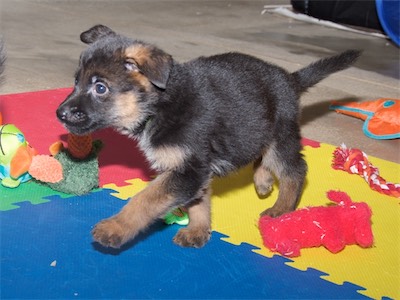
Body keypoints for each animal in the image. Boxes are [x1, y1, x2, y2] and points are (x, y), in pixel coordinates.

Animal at [57, 24, 360, 248]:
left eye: (100, 88)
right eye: (76, 82)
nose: (60, 113)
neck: (161, 105)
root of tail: (289, 78)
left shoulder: (188, 169)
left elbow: (146, 198)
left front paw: (116, 227)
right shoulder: (194, 170)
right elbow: (198, 202)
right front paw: (198, 230)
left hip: (280, 135)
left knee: (295, 170)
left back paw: (281, 210)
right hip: (254, 131)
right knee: (261, 155)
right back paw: (263, 180)